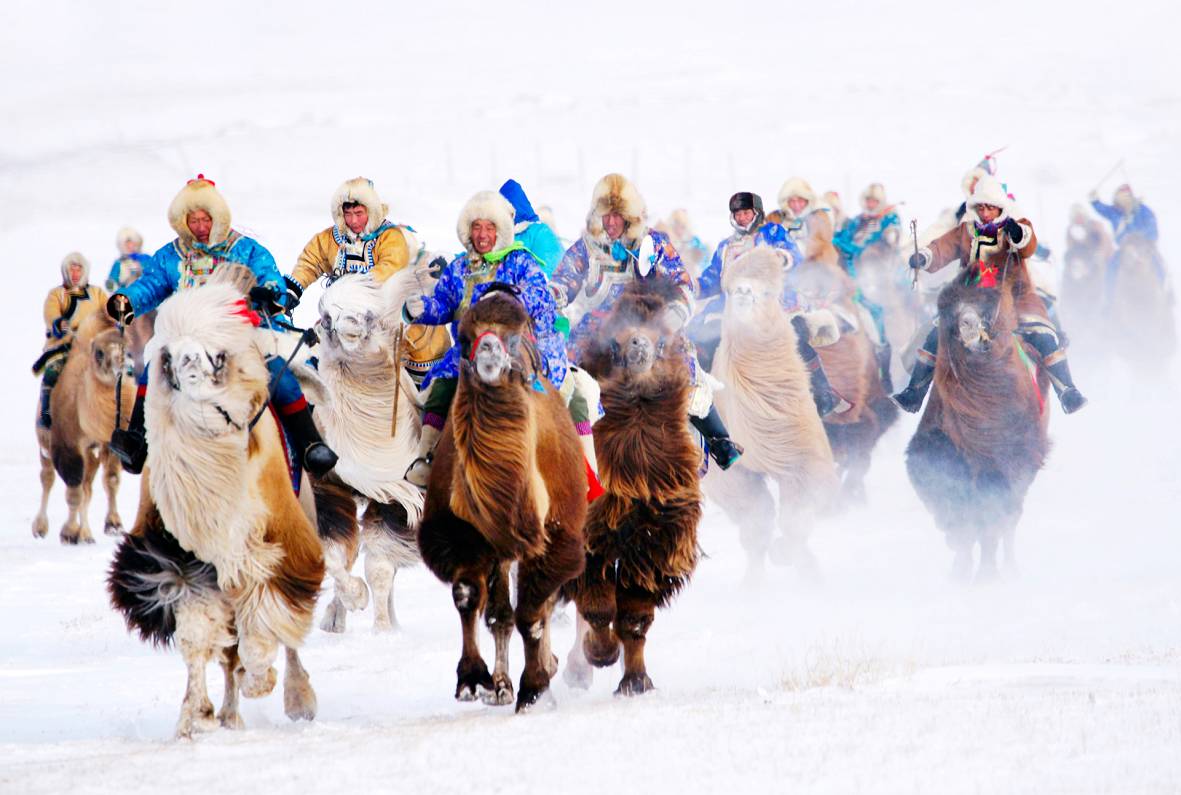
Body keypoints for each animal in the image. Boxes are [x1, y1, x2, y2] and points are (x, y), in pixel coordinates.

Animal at [33, 309, 134, 538]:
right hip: (44, 442)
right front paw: (69, 532)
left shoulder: (109, 444)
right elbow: (73, 487)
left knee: (87, 487)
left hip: (90, 454)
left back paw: (86, 535)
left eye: (129, 348)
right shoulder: (66, 444)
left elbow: (111, 480)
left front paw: (114, 524)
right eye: (99, 352)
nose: (127, 370)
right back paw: (40, 528)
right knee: (47, 478)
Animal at [418, 287, 588, 713]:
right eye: (464, 337)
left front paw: (535, 689)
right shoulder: (461, 534)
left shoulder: (555, 537)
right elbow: (468, 596)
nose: (489, 350)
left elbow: (532, 613)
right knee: (498, 611)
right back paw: (501, 684)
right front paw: (472, 679)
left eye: (514, 336)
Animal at [562, 277, 699, 694]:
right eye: (613, 344)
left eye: (662, 340)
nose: (638, 345)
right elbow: (597, 607)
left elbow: (635, 618)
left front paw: (636, 680)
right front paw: (599, 655)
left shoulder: (653, 543)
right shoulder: (592, 539)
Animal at [902, 269, 1053, 578]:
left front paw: (986, 573)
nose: (968, 325)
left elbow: (993, 514)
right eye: (947, 311)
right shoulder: (943, 453)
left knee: (1008, 519)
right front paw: (960, 570)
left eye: (986, 309)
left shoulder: (1009, 460)